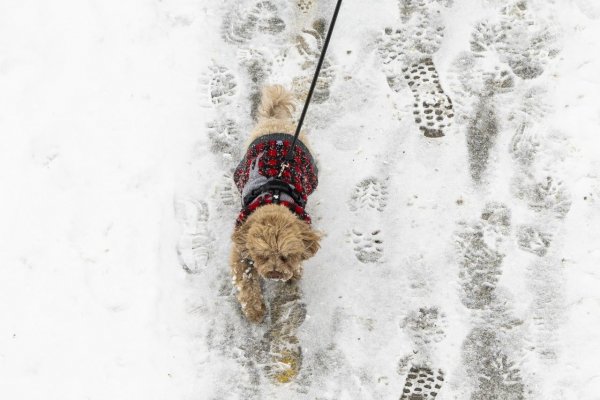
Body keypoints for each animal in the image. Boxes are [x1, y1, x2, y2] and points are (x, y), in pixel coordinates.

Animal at [230, 86, 322, 324]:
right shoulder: (241, 248)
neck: (274, 200)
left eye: (285, 256)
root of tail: (275, 120)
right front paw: (255, 310)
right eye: (262, 256)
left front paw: (294, 273)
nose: (274, 273)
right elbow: (245, 280)